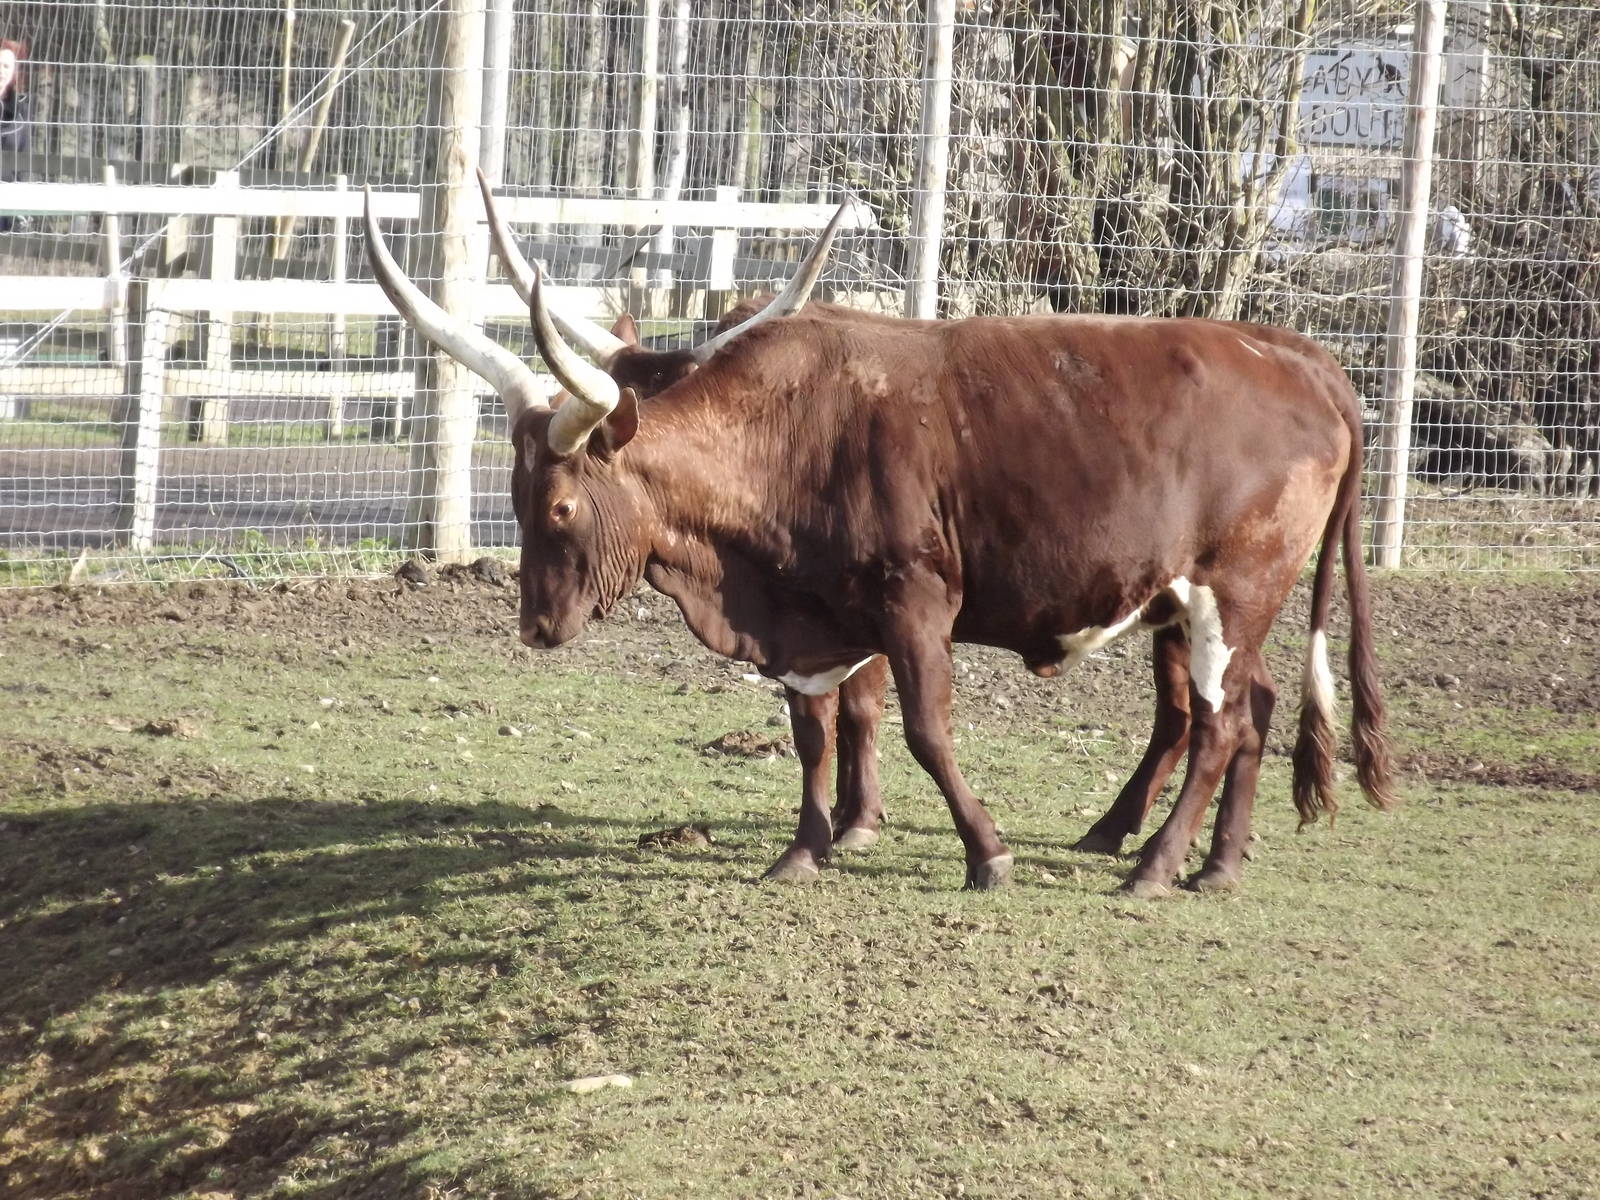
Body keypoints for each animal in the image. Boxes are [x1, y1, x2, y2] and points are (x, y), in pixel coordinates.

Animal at [365, 192, 1395, 896]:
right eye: (514, 494)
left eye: (563, 507)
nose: (537, 626)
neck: (793, 433)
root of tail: (1301, 358)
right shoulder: (816, 618)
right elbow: (814, 728)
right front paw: (806, 847)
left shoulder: (915, 603)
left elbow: (923, 729)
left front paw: (986, 853)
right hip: (1202, 603)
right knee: (1249, 709)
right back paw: (1207, 861)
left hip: (1233, 590)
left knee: (1218, 721)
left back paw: (1154, 864)